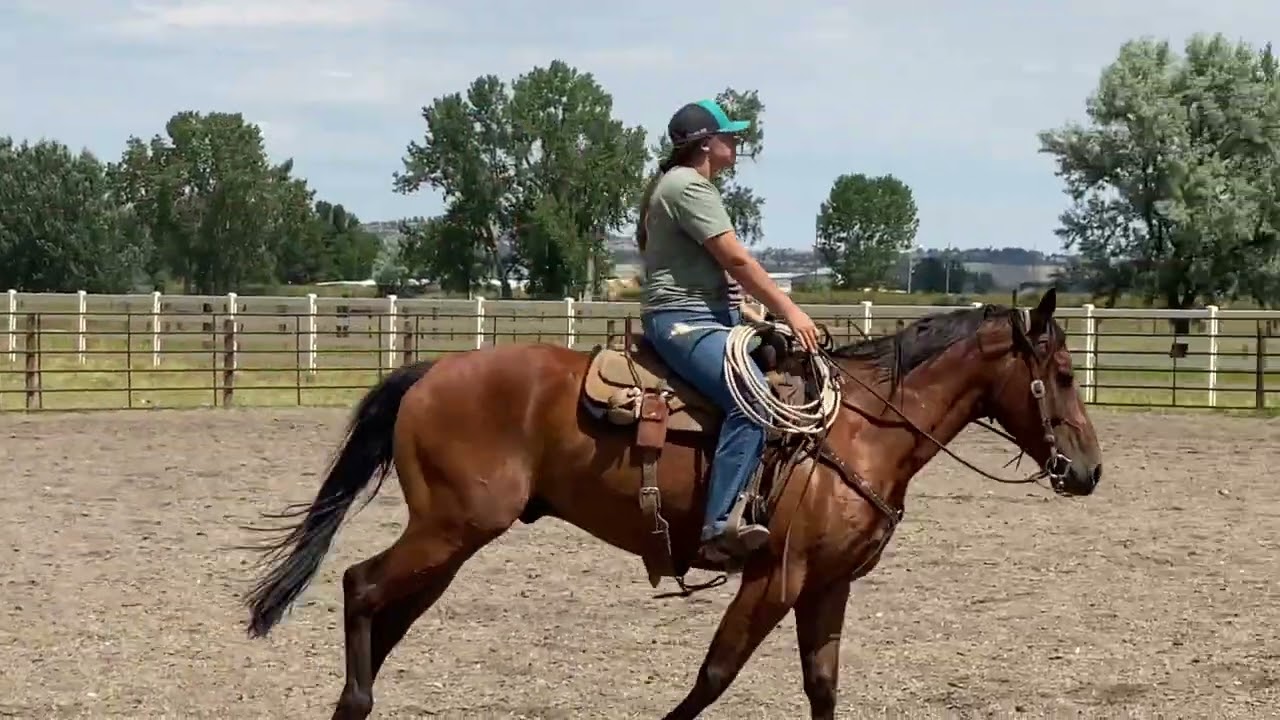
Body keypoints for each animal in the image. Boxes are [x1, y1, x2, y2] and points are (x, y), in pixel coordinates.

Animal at [240, 287, 1103, 720]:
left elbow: (822, 686)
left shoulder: (828, 585)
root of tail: (430, 372)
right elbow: (714, 676)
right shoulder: (775, 577)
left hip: (452, 541)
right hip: (450, 530)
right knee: (360, 586)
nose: (1089, 470)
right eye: (1061, 374)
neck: (859, 430)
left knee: (386, 610)